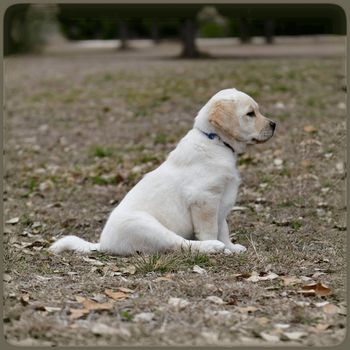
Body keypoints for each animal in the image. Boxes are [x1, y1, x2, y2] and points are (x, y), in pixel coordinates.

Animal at [49, 89, 276, 256]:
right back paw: (211, 247)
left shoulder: (223, 201)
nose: (274, 124)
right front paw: (221, 247)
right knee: (181, 244)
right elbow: (210, 230)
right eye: (250, 114)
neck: (216, 142)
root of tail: (103, 244)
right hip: (150, 227)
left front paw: (231, 247)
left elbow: (224, 228)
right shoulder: (204, 199)